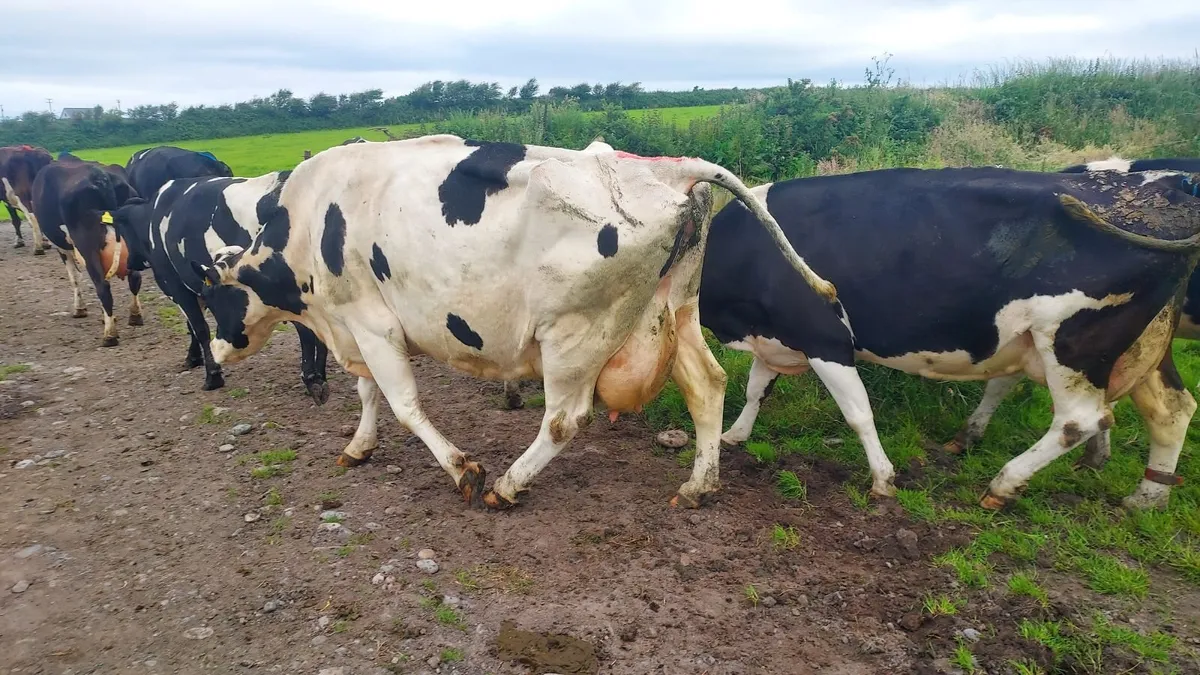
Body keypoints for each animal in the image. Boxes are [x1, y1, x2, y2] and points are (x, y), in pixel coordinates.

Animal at [31, 156, 142, 346]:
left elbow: (74, 277)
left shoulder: (63, 247)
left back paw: (109, 335)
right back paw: (135, 316)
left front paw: (79, 309)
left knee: (102, 286)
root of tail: (101, 176)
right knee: (134, 277)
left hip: (87, 246)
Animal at [111, 172, 330, 402]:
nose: (129, 263)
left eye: (121, 231)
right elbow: (191, 326)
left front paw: (212, 376)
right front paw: (193, 358)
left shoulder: (177, 286)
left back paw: (312, 379)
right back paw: (319, 376)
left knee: (306, 330)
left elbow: (199, 328)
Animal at [186, 134, 838, 510]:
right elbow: (368, 393)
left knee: (565, 419)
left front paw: (463, 471)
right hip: (672, 310)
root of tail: (666, 170)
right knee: (707, 385)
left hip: (576, 332)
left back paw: (508, 485)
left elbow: (403, 403)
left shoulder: (371, 322)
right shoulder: (353, 327)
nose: (214, 353)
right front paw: (358, 446)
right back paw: (699, 485)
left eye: (213, 297)